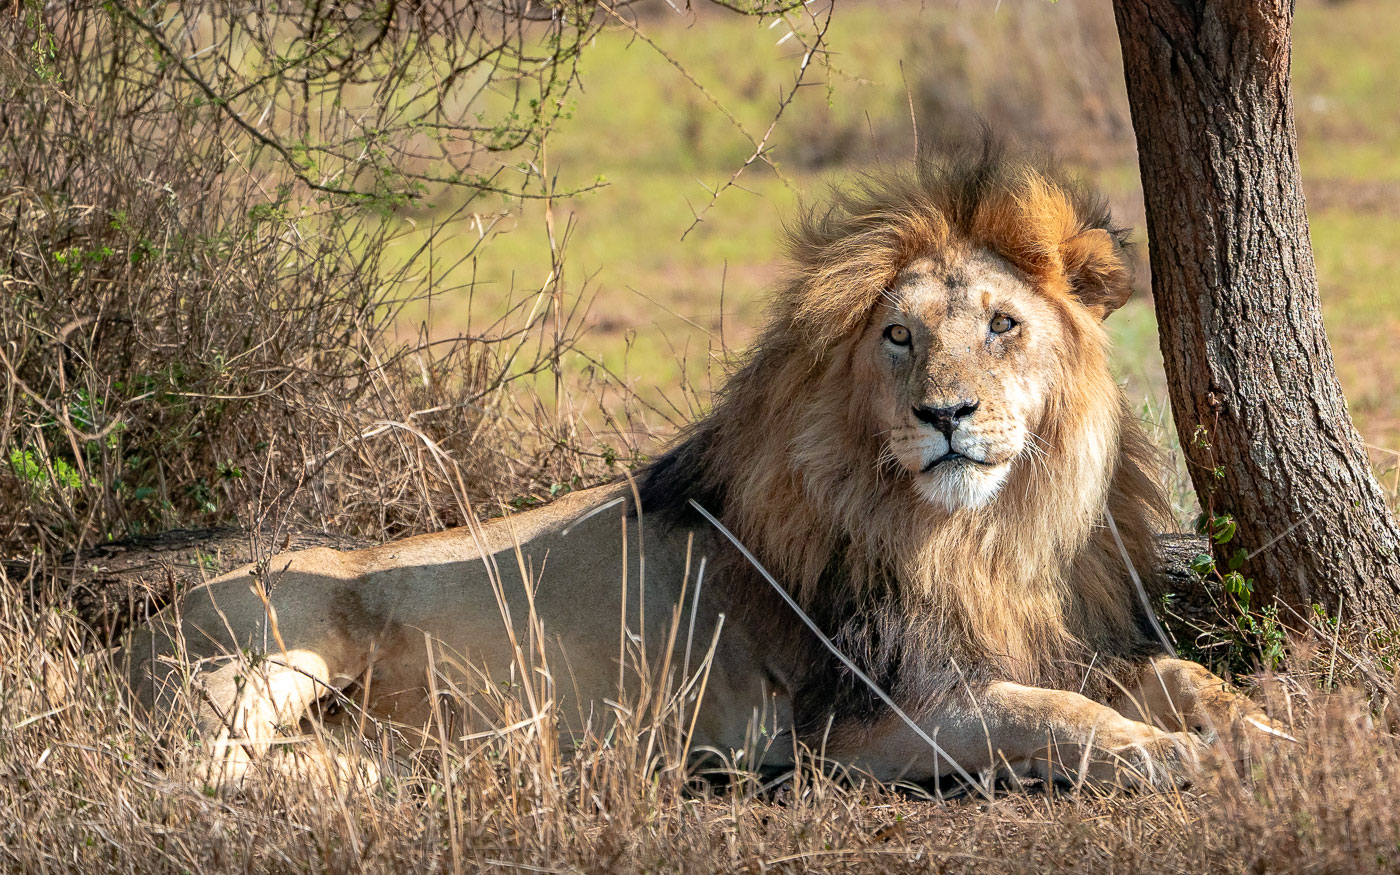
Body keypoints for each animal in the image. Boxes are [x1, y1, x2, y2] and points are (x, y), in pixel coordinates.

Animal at [121, 145, 1285, 792]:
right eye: (898, 337)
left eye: (1002, 325)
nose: (945, 415)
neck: (980, 534)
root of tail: (147, 620)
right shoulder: (857, 717)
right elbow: (1043, 715)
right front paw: (1163, 754)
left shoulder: (1051, 637)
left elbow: (1169, 674)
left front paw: (1260, 725)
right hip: (281, 636)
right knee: (191, 772)